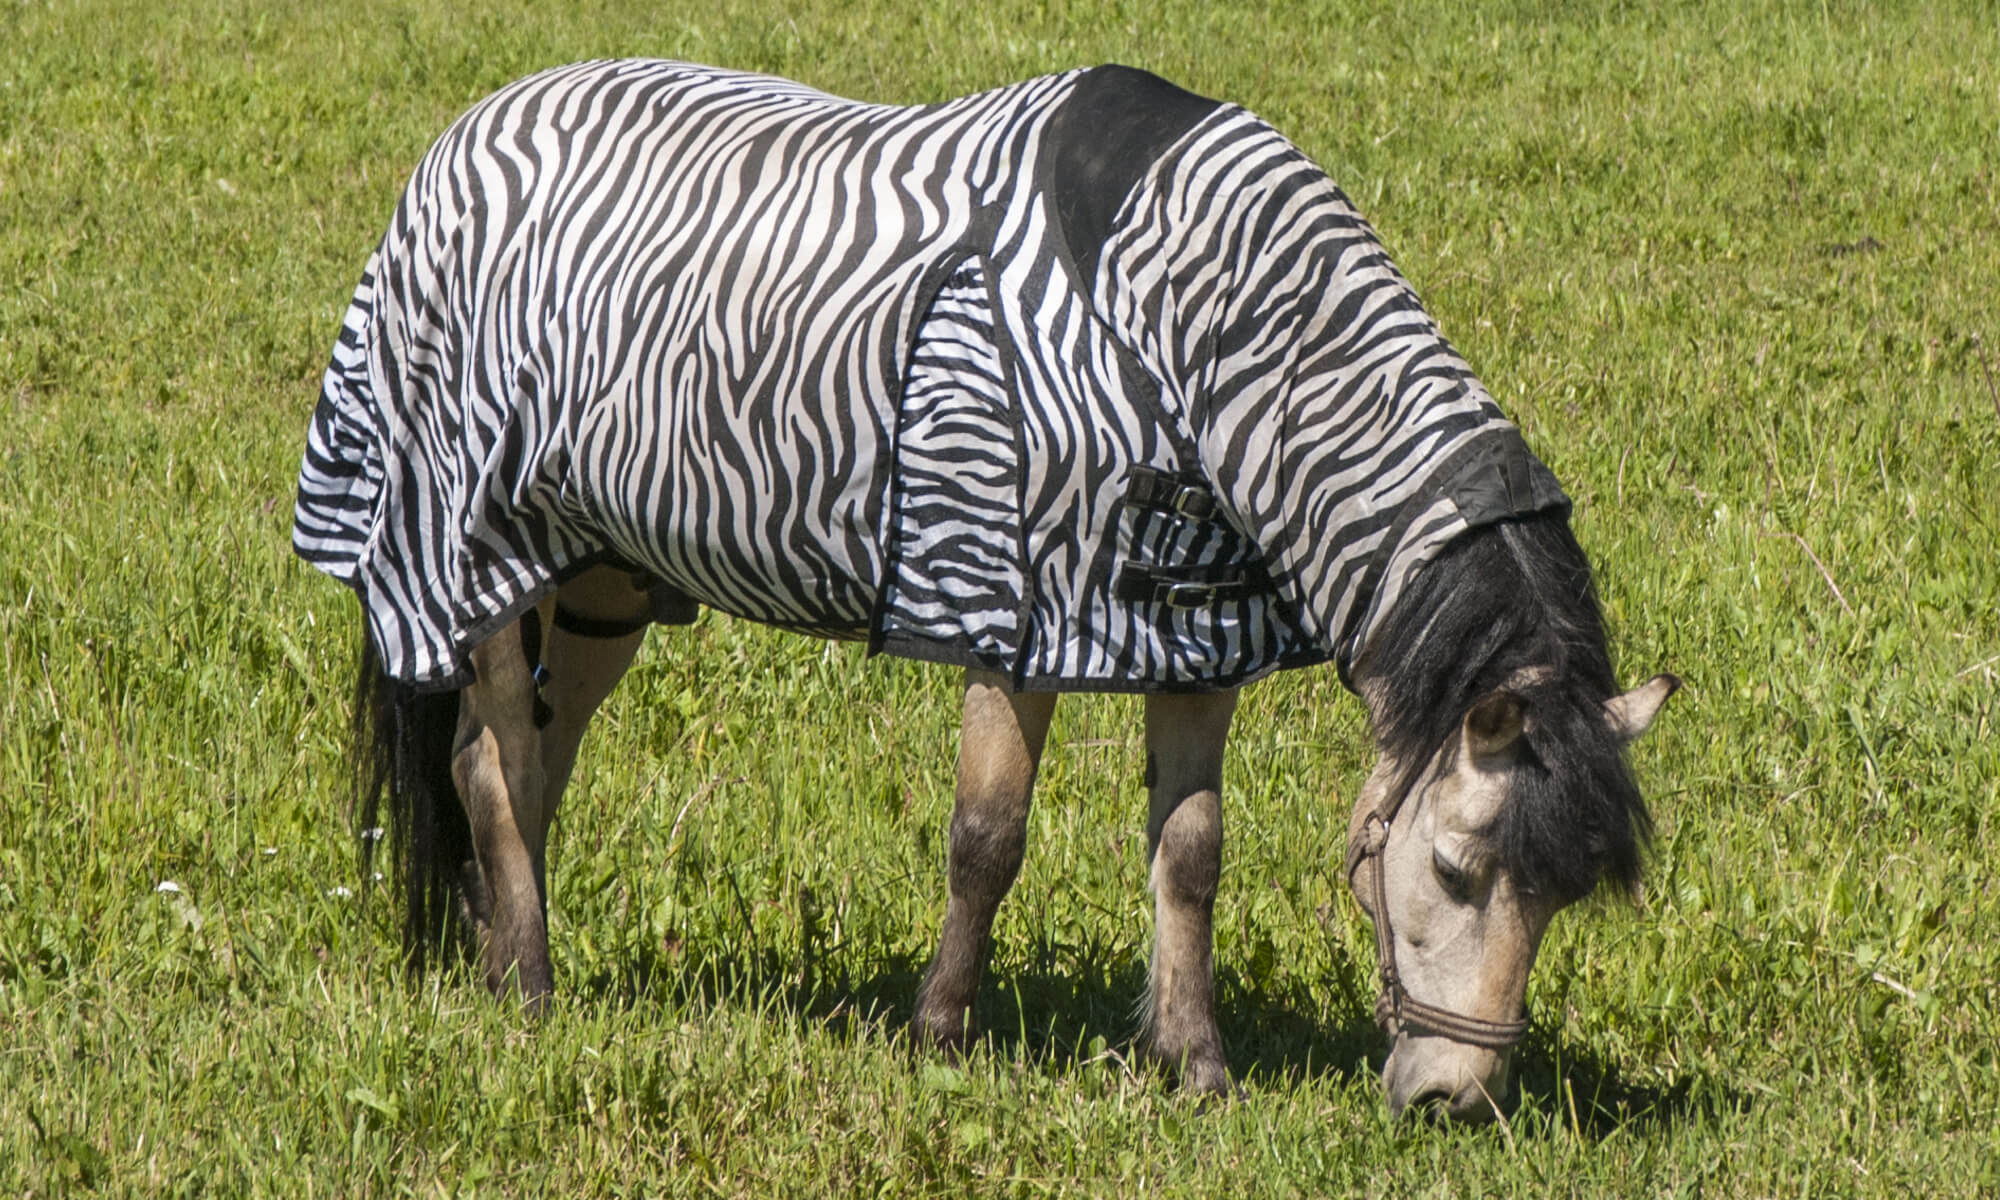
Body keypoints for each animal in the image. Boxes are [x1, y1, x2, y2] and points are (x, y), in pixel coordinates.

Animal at [300, 60, 1675, 1122]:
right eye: (1452, 871)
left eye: (1560, 897)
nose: (1454, 1105)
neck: (1201, 328)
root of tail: (466, 132)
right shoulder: (1002, 593)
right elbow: (986, 837)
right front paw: (940, 1039)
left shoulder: (1189, 626)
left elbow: (1192, 853)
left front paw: (1194, 1066)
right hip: (468, 537)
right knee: (491, 762)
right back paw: (530, 990)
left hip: (598, 575)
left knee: (525, 759)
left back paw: (500, 958)